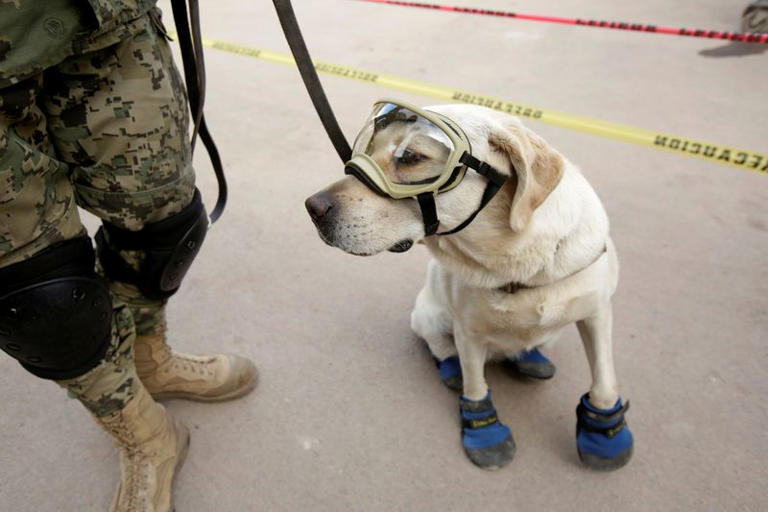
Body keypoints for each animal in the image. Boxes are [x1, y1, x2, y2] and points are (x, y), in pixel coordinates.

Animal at [306, 103, 636, 472]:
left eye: (411, 157)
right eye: (366, 149)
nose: (312, 207)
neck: (520, 267)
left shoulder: (598, 313)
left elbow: (604, 380)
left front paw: (603, 432)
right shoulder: (469, 333)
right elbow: (475, 386)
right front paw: (485, 433)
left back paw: (531, 359)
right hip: (428, 316)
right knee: (439, 347)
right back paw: (452, 367)